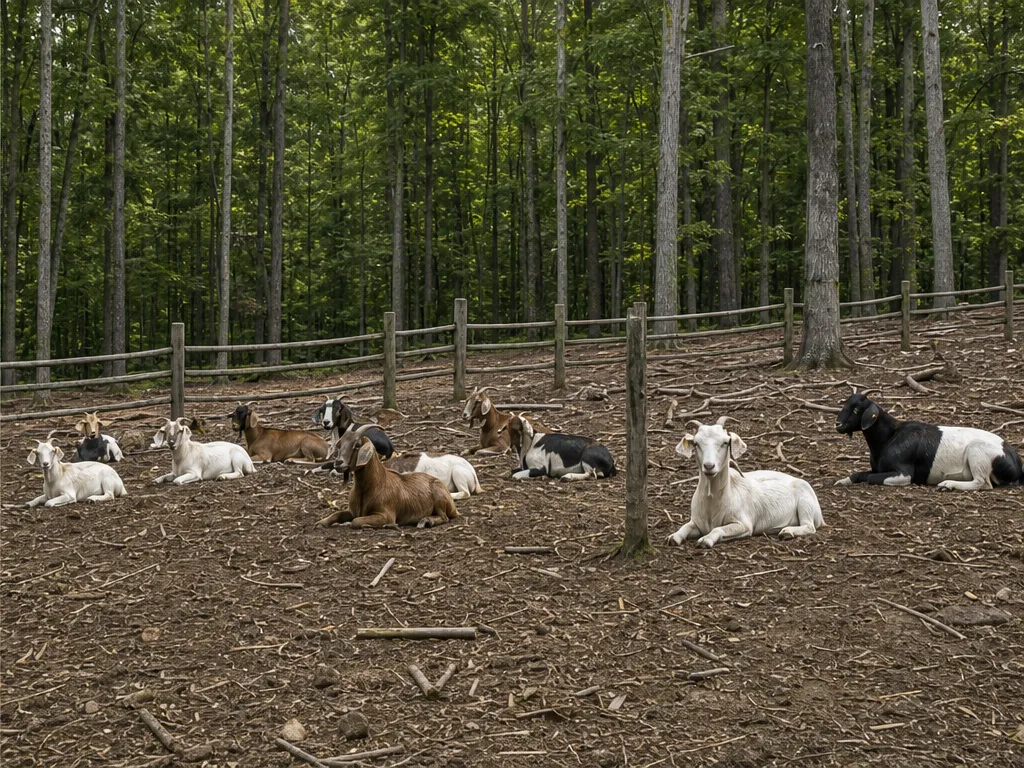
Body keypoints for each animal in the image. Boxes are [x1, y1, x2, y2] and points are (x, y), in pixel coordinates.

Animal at [318, 425, 459, 528]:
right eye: (340, 445)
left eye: (357, 445)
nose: (338, 463)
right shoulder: (352, 511)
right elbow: (337, 514)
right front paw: (321, 523)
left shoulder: (386, 515)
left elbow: (356, 521)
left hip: (439, 499)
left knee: (444, 517)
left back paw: (425, 521)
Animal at [667, 418, 823, 548]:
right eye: (696, 443)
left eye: (725, 442)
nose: (709, 466)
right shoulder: (697, 523)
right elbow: (685, 527)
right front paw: (673, 537)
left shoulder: (744, 524)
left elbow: (718, 529)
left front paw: (706, 540)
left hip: (806, 504)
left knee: (809, 526)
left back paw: (787, 532)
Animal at [835, 393, 1023, 490]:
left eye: (857, 409)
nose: (838, 424)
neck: (889, 437)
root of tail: (1016, 462)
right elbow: (860, 474)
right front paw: (841, 482)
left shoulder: (903, 474)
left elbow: (871, 477)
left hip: (977, 453)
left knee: (983, 483)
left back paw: (947, 484)